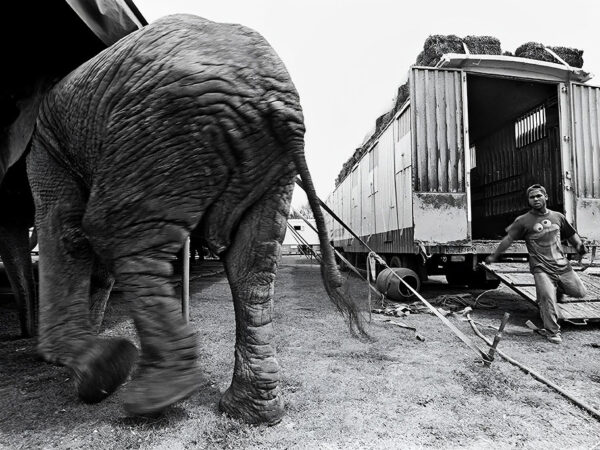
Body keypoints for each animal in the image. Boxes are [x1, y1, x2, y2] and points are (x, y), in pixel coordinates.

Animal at [21, 12, 364, 424]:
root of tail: (273, 93)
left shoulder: (46, 143)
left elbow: (65, 228)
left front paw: (85, 365)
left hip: (165, 128)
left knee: (108, 228)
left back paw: (149, 392)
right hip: (252, 157)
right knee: (252, 263)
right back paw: (249, 411)